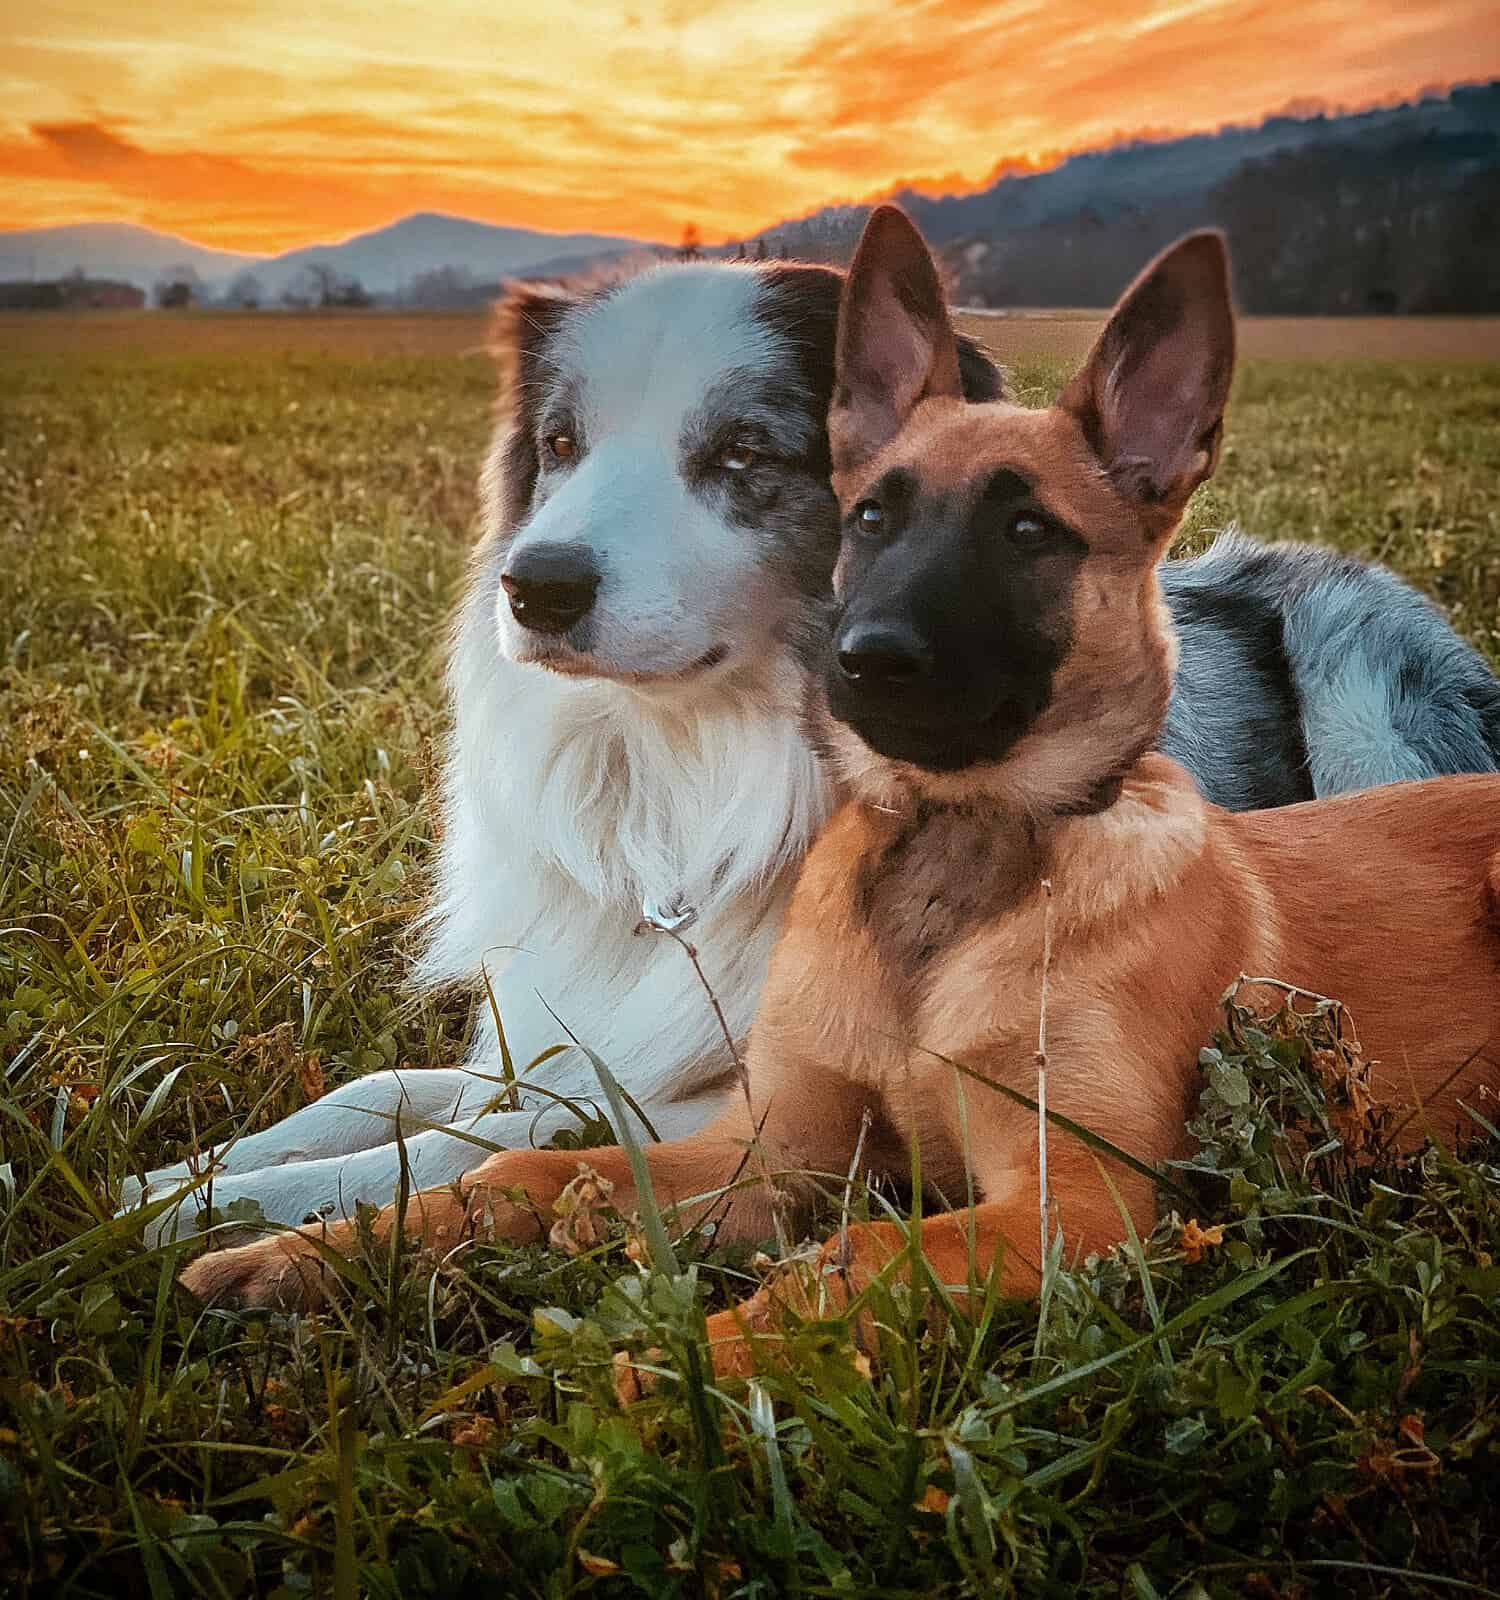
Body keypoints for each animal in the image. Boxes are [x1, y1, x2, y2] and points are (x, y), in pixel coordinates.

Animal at [187, 206, 1496, 1369]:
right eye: (559, 445)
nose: (536, 586)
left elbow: (474, 1137)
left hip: (1361, 685)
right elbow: (405, 1102)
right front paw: (202, 1184)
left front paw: (234, 1206)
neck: (688, 787)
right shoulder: (669, 1080)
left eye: (743, 452)